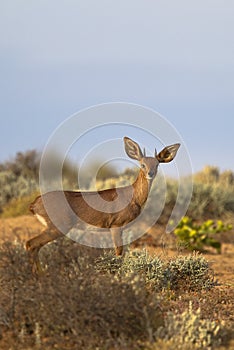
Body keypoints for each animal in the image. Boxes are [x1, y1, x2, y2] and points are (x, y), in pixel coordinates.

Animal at [26, 137, 179, 274]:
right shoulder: (116, 226)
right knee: (30, 244)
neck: (133, 197)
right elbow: (118, 253)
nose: (150, 173)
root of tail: (34, 204)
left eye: (157, 164)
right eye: (142, 164)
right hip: (57, 227)